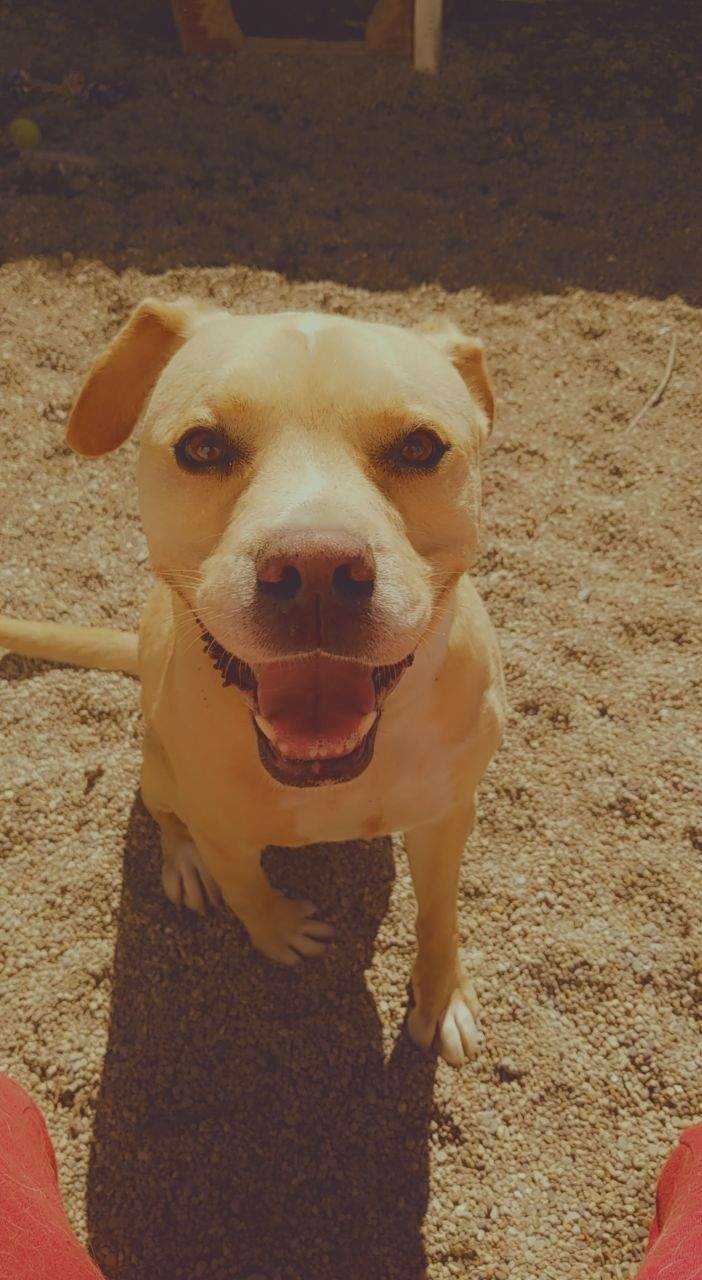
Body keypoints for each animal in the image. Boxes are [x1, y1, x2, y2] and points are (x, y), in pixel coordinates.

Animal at [0, 296, 504, 1059]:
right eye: (202, 447)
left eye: (420, 447)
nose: (316, 569)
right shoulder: (221, 826)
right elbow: (245, 887)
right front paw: (278, 932)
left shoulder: (447, 818)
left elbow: (439, 915)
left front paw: (441, 993)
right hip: (158, 767)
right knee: (165, 815)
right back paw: (183, 865)